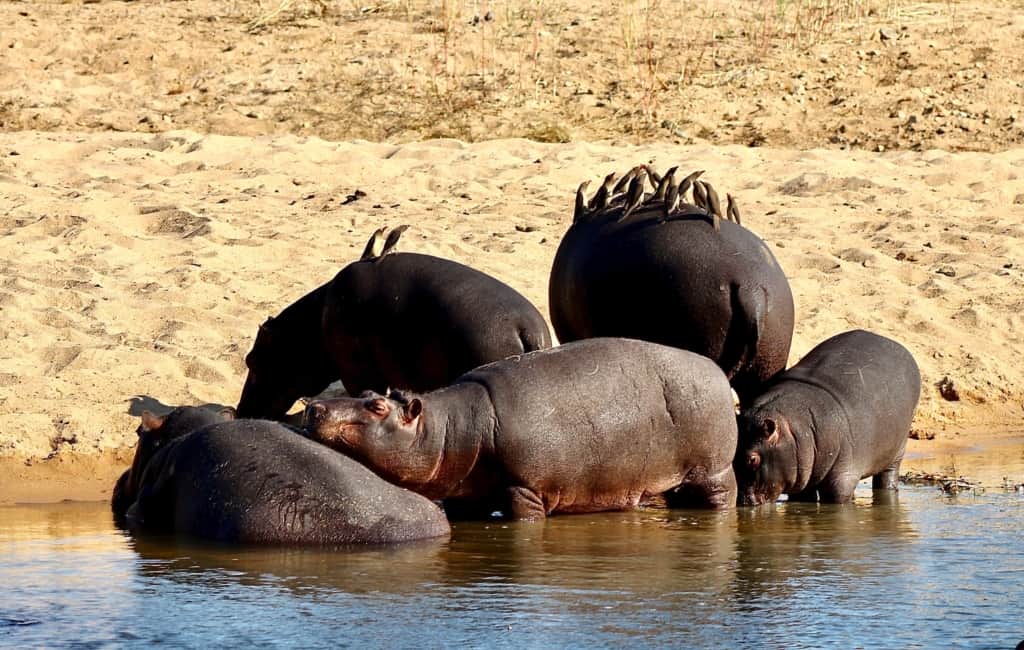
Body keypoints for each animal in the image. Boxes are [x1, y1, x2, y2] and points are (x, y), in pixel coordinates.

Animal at [299, 337, 741, 522]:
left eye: (377, 407)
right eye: (368, 392)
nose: (314, 405)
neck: (450, 428)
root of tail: (717, 372)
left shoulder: (525, 489)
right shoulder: (463, 495)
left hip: (713, 471)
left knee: (722, 497)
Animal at [737, 329, 921, 507]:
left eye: (752, 459)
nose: (744, 502)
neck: (794, 427)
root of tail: (899, 347)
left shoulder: (842, 477)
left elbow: (838, 497)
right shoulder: (801, 476)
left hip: (898, 449)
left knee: (888, 476)